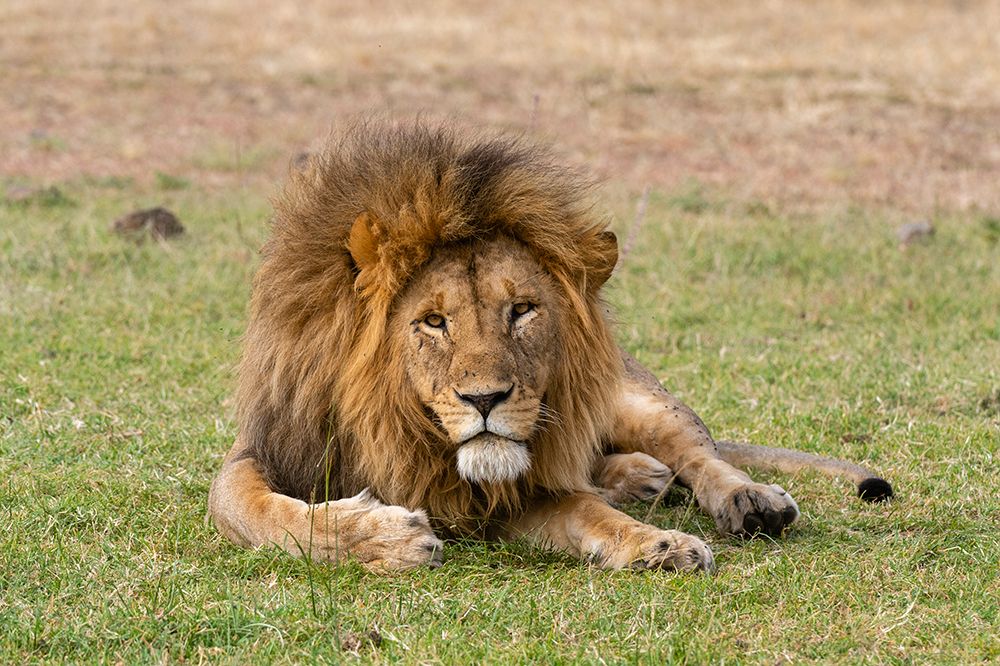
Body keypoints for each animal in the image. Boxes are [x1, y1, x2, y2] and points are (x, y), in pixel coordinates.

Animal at [208, 122, 892, 573]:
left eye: (523, 310)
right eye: (433, 322)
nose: (486, 399)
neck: (398, 428)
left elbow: (587, 511)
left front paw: (658, 543)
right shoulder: (269, 447)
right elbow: (255, 510)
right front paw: (383, 539)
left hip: (633, 396)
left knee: (697, 451)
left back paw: (746, 500)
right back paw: (636, 478)